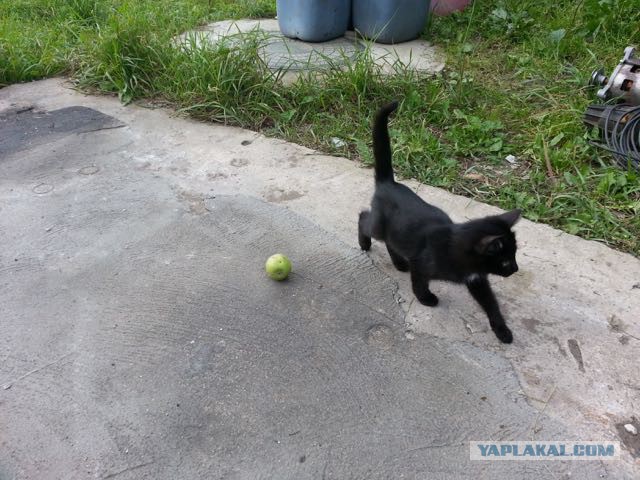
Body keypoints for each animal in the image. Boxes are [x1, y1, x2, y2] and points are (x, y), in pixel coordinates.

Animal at [360, 100, 520, 342]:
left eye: (515, 256)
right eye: (505, 261)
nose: (516, 269)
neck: (455, 247)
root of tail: (389, 183)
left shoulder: (477, 279)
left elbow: (491, 304)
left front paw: (502, 330)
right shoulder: (421, 264)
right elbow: (419, 283)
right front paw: (426, 299)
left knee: (391, 241)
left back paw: (399, 263)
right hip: (379, 225)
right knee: (363, 218)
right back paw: (365, 244)